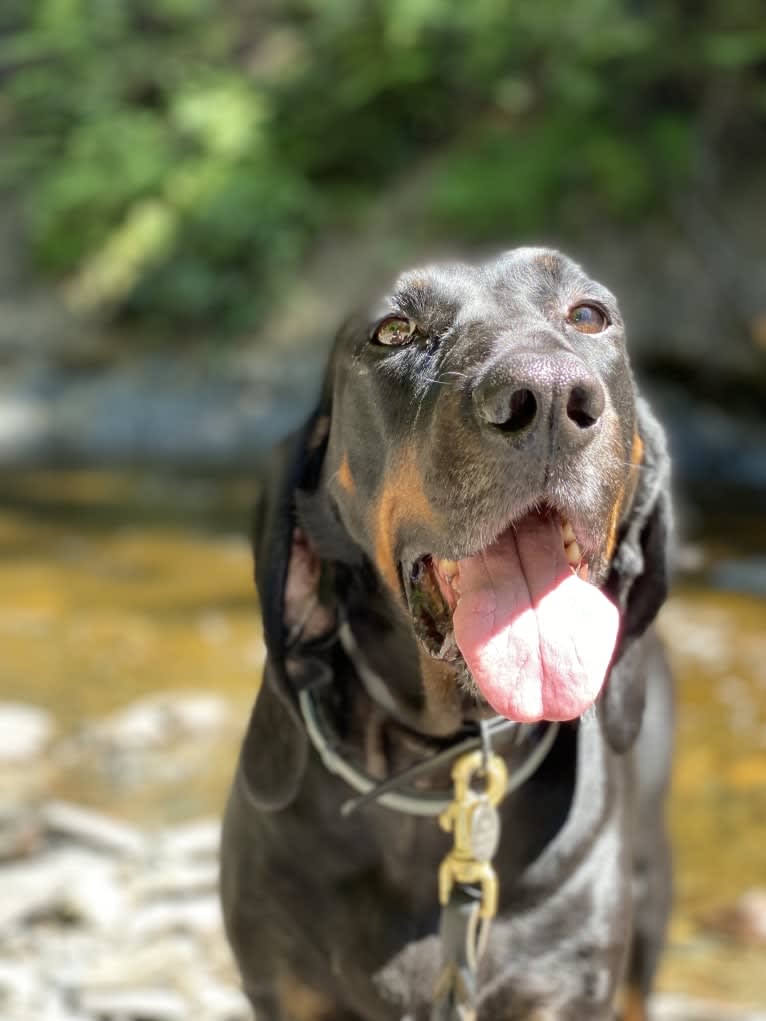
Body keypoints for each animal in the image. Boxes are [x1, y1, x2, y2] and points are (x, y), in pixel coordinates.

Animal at [220, 249, 669, 1021]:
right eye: (394, 331)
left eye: (589, 315)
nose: (547, 394)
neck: (440, 771)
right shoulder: (286, 988)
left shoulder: (564, 982)